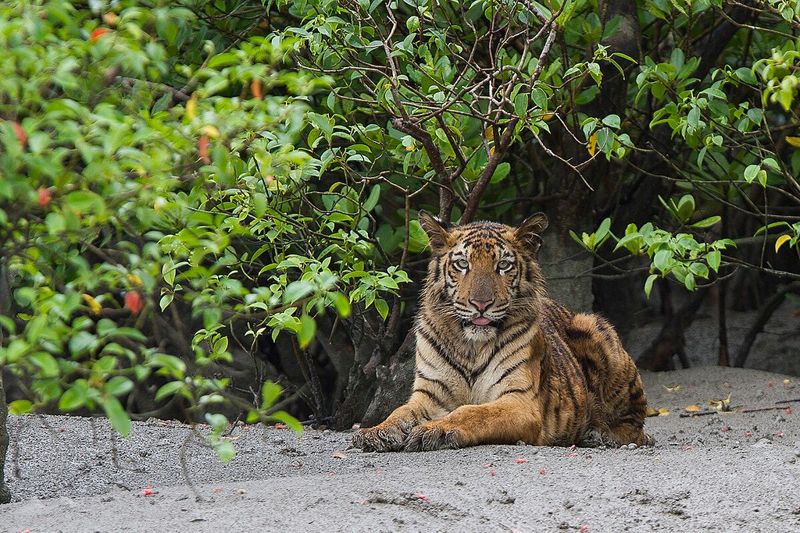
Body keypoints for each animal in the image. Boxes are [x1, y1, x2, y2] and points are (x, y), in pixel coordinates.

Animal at [351, 211, 652, 452]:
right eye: (463, 264)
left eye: (503, 266)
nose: (480, 304)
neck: (470, 347)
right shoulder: (429, 395)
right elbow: (400, 412)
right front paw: (375, 432)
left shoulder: (519, 401)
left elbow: (471, 412)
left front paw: (435, 430)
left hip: (593, 326)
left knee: (636, 426)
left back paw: (601, 435)